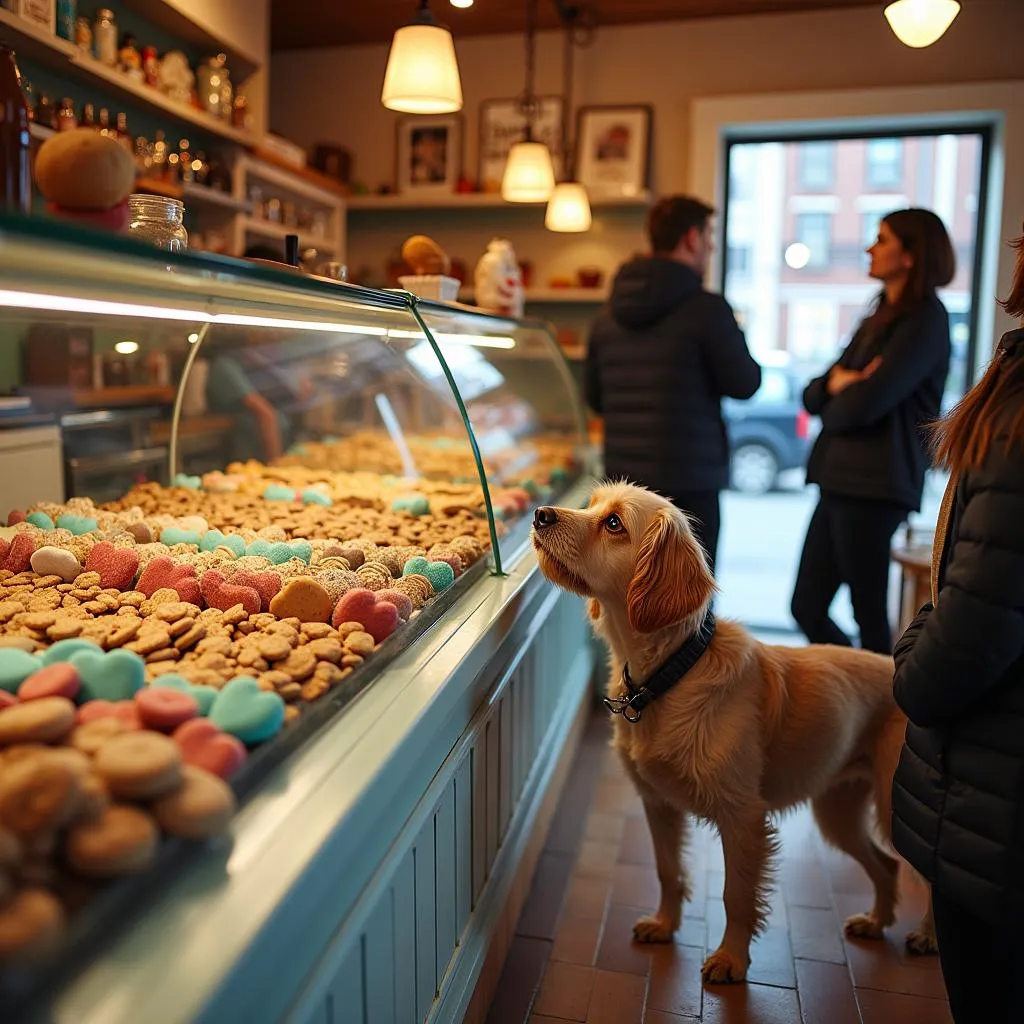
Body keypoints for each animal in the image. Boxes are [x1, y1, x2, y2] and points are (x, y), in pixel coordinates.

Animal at [528, 481, 937, 983]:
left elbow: (736, 895)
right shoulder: (658, 804)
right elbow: (668, 871)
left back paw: (928, 936)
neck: (672, 674)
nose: (540, 514)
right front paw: (665, 925)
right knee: (887, 866)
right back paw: (876, 922)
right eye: (591, 506)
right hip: (838, 813)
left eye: (614, 523)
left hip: (901, 812)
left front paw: (730, 959)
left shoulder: (743, 817)